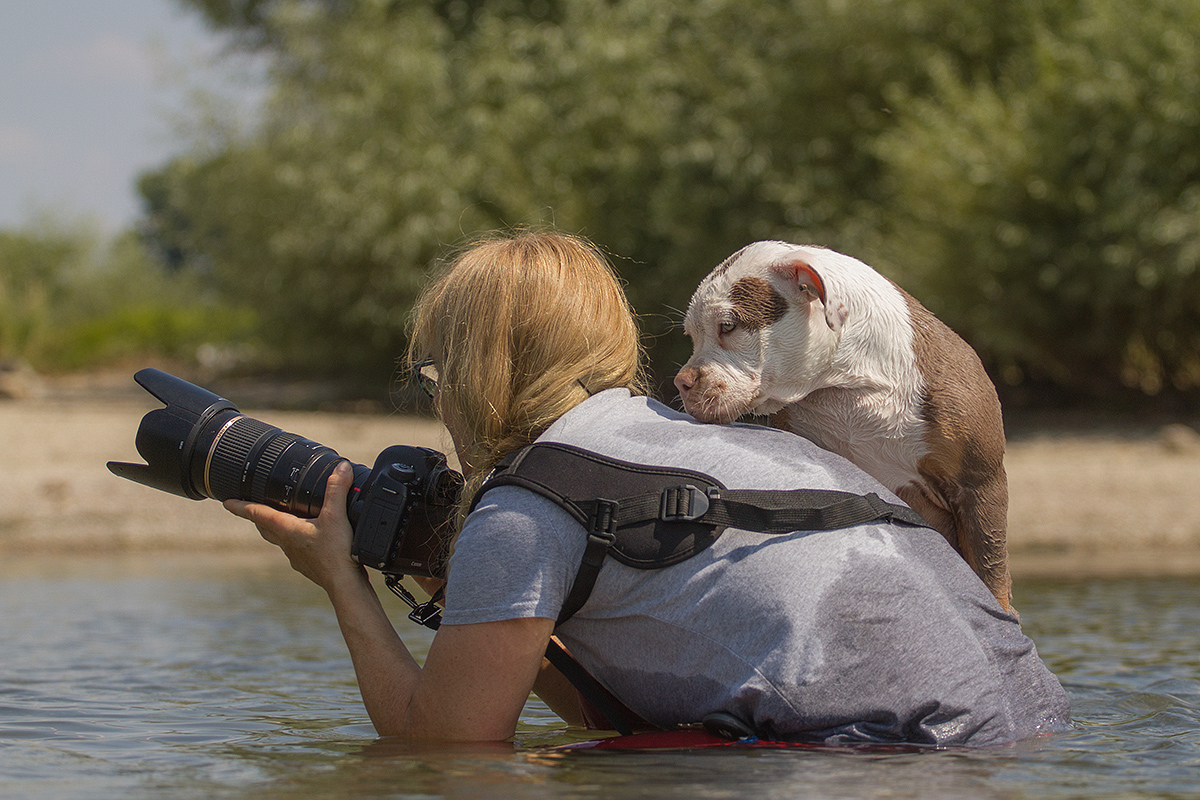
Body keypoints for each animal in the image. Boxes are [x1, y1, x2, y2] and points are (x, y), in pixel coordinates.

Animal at [676, 241, 1012, 618]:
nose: (681, 382)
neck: (847, 383)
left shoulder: (978, 484)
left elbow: (989, 568)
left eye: (728, 326)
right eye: (691, 336)